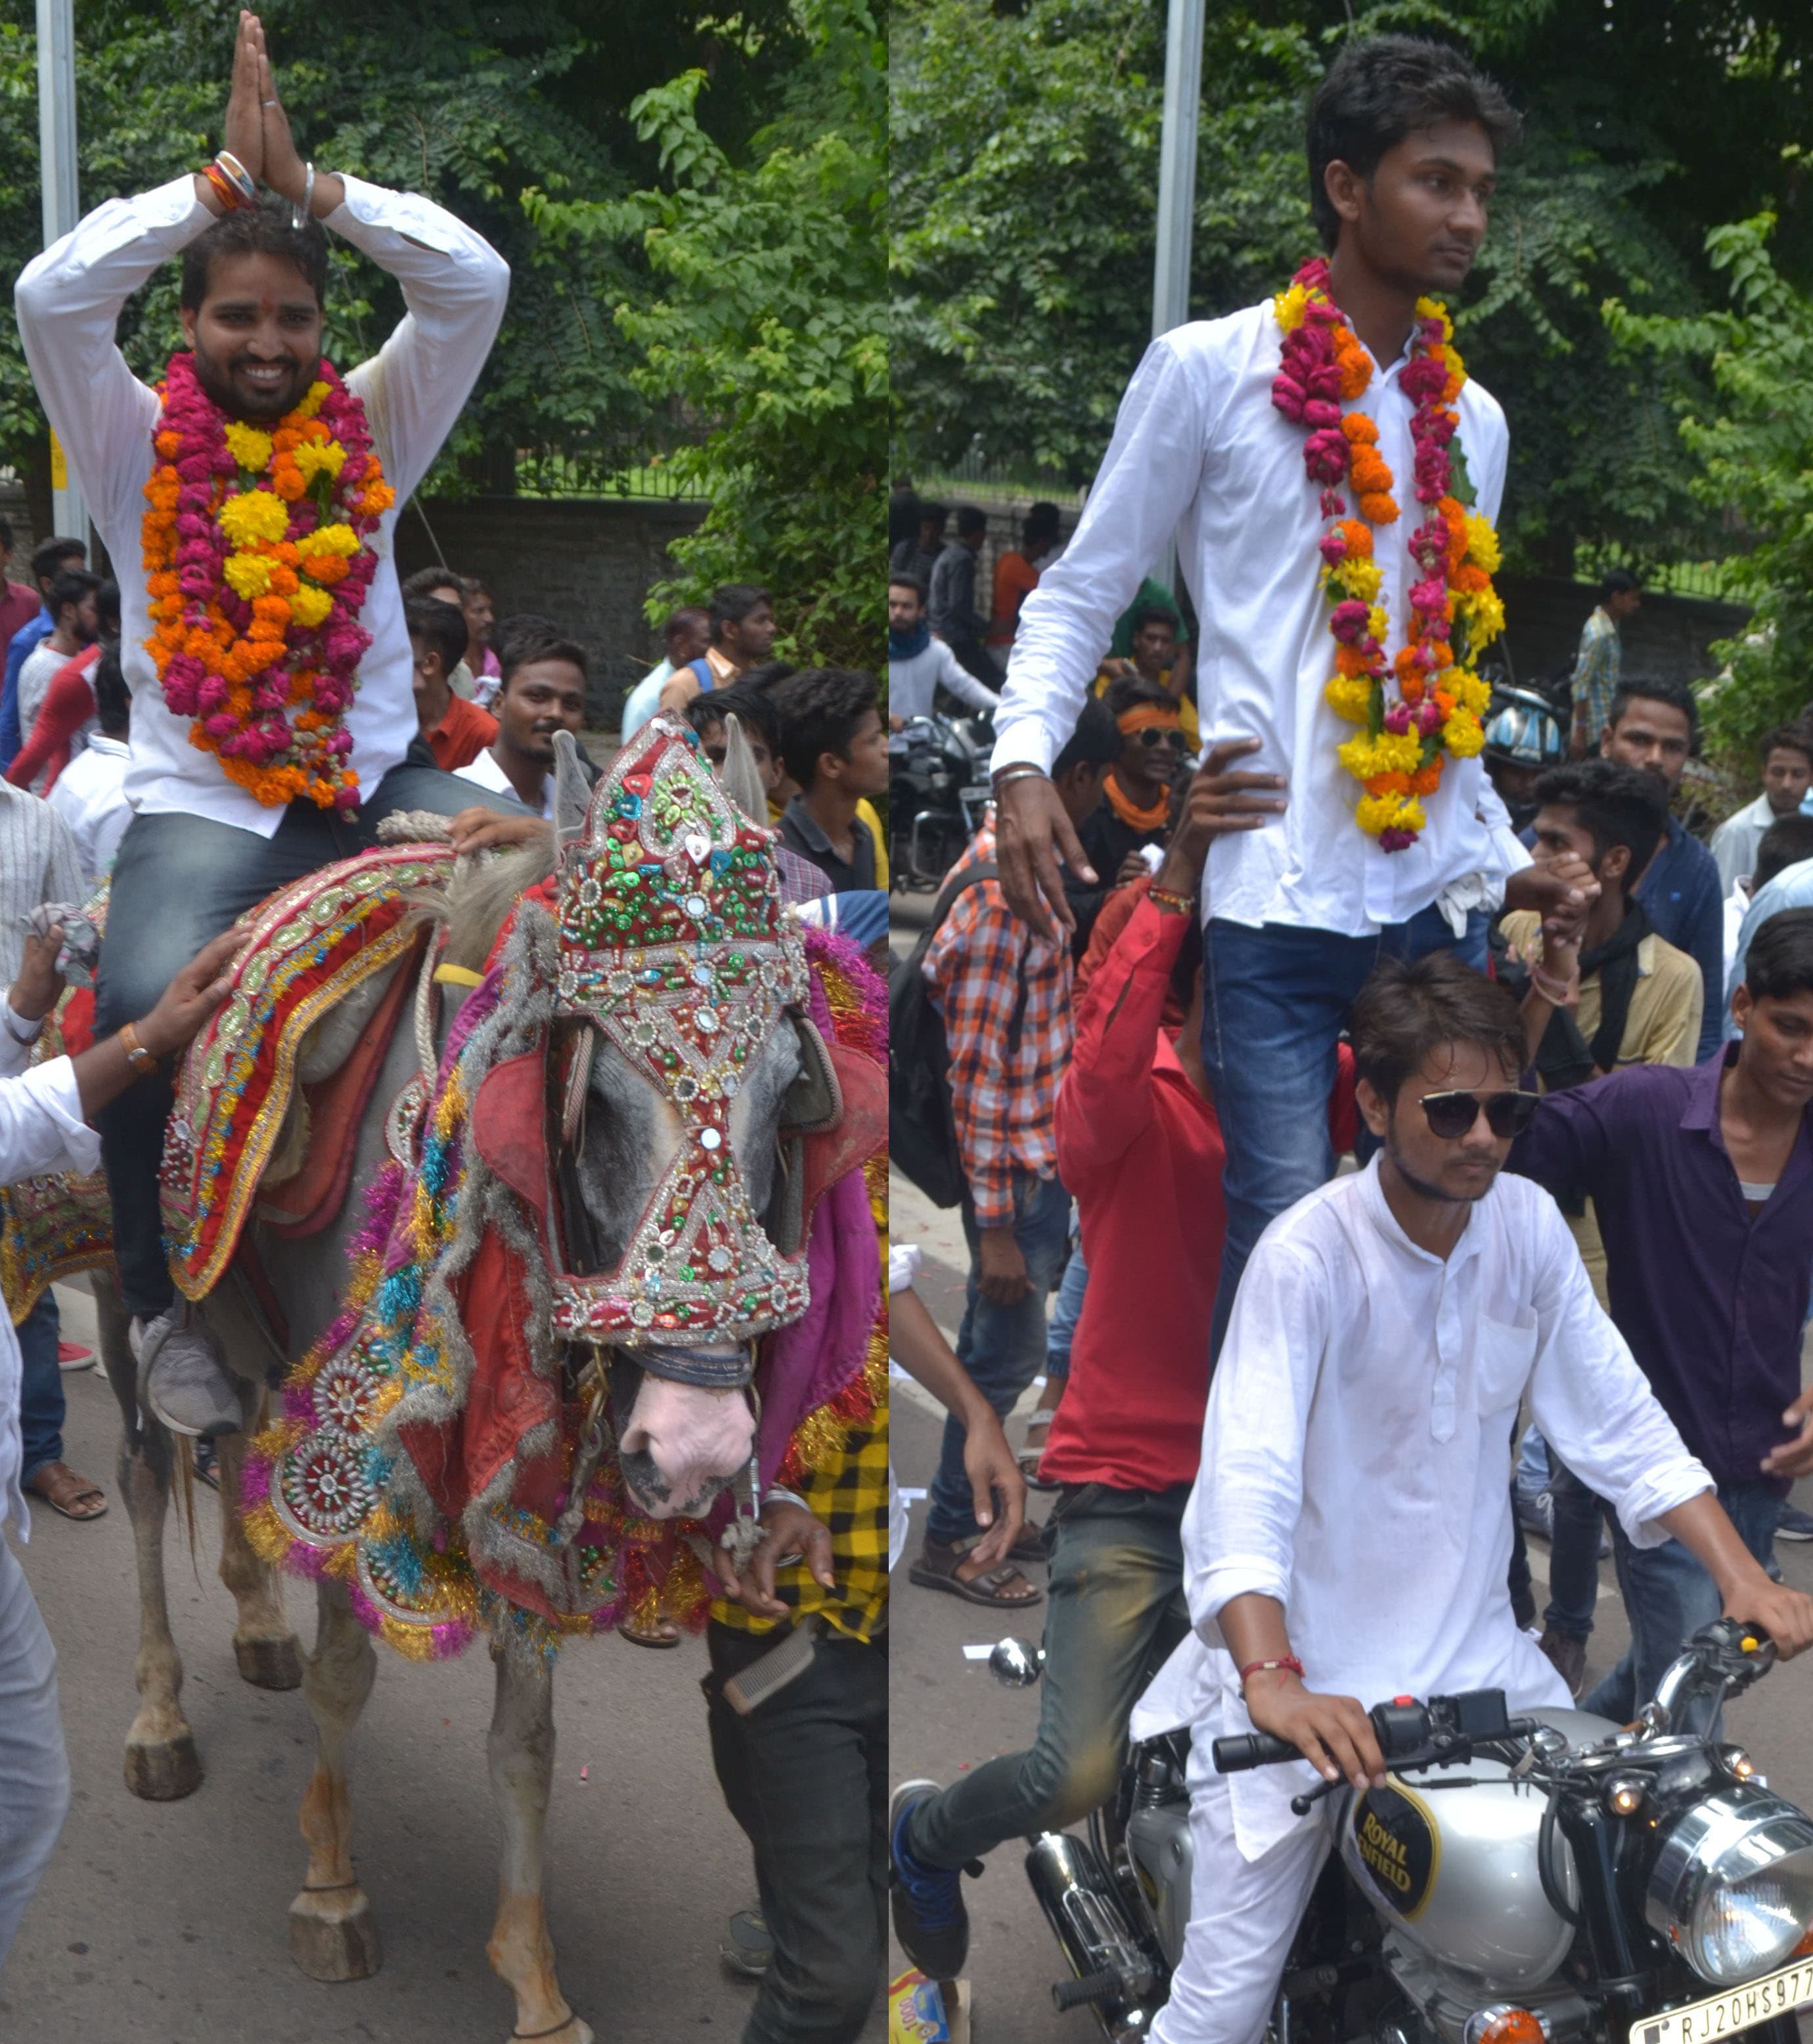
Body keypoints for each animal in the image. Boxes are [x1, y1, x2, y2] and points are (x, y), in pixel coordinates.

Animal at [1, 711, 887, 2035]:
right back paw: (160, 1714)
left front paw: (535, 1979)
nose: (697, 1448)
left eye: (793, 1093)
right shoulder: (362, 1443)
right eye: (594, 1096)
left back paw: (250, 1613)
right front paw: (332, 1890)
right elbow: (348, 1667)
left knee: (231, 1440)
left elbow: (526, 1736)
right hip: (119, 1293)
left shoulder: (518, 1464)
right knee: (152, 1470)